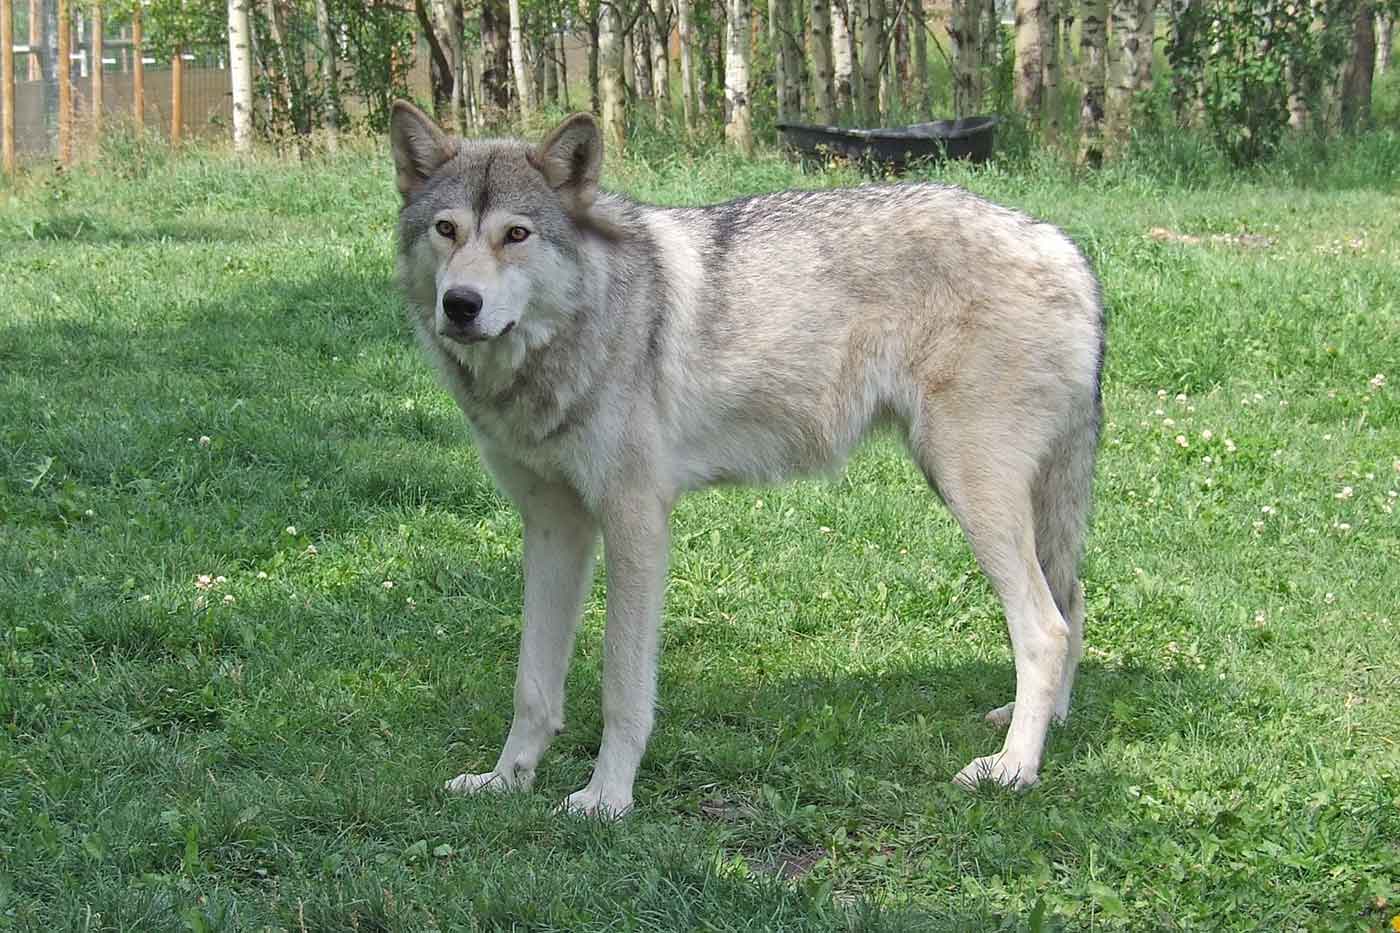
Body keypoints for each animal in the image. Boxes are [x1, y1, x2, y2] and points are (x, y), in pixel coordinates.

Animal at [389, 101, 1097, 812]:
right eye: (447, 230)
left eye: (516, 234)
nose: (461, 305)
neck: (577, 330)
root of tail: (1065, 248)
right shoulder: (552, 526)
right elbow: (532, 684)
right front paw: (506, 781)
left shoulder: (635, 524)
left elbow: (622, 687)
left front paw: (607, 798)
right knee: (1073, 600)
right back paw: (1050, 724)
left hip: (970, 492)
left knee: (1046, 629)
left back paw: (1013, 766)